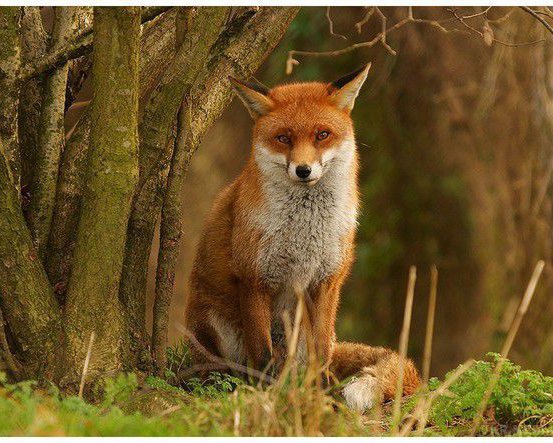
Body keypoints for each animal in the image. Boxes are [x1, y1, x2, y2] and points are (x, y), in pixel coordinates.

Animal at [184, 63, 418, 412]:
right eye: (283, 138)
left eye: (322, 135)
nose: (303, 170)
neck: (305, 230)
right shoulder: (254, 279)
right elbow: (262, 355)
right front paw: (265, 397)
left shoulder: (326, 281)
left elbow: (321, 355)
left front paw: (321, 397)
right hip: (213, 325)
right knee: (227, 368)